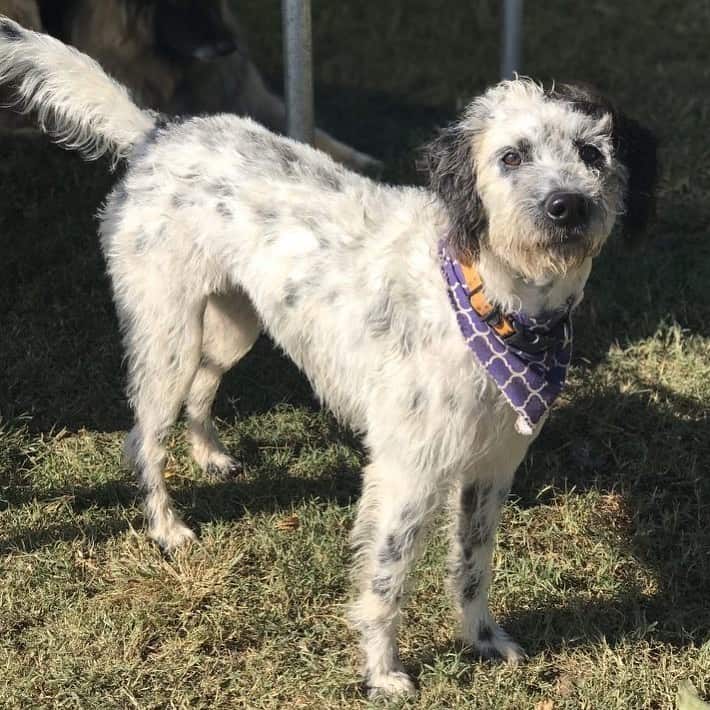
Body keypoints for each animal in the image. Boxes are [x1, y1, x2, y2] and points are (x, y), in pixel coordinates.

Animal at [0, 16, 660, 700]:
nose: (568, 206)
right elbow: (386, 582)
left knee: (203, 391)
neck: (496, 308)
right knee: (142, 439)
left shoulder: (490, 470)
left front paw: (481, 640)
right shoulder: (406, 475)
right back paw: (167, 528)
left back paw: (209, 456)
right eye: (512, 157)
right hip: (167, 340)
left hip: (237, 326)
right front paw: (382, 671)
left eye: (592, 154)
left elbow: (473, 566)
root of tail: (158, 131)